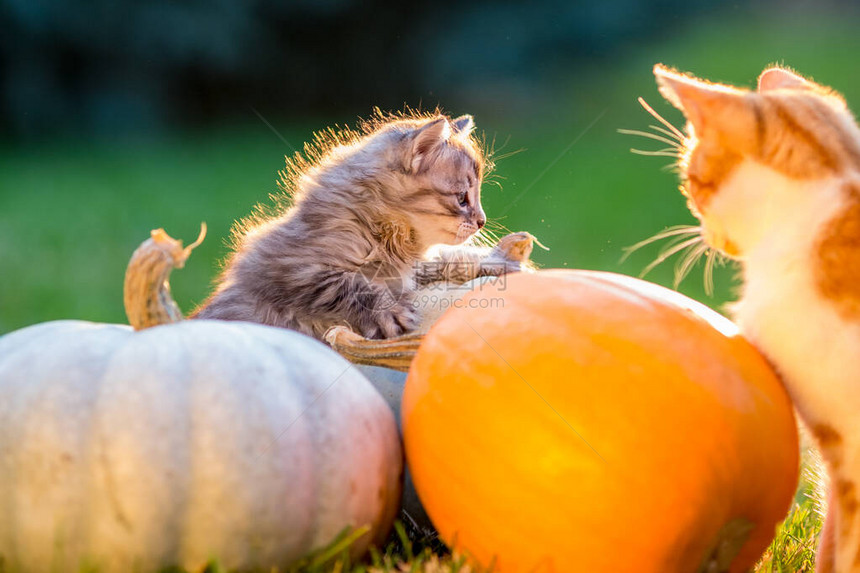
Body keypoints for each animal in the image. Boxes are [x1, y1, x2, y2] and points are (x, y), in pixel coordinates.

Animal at [194, 111, 524, 340]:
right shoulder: (291, 267)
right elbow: (350, 285)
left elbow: (445, 258)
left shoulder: (412, 270)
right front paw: (388, 313)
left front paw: (495, 260)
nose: (481, 221)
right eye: (462, 198)